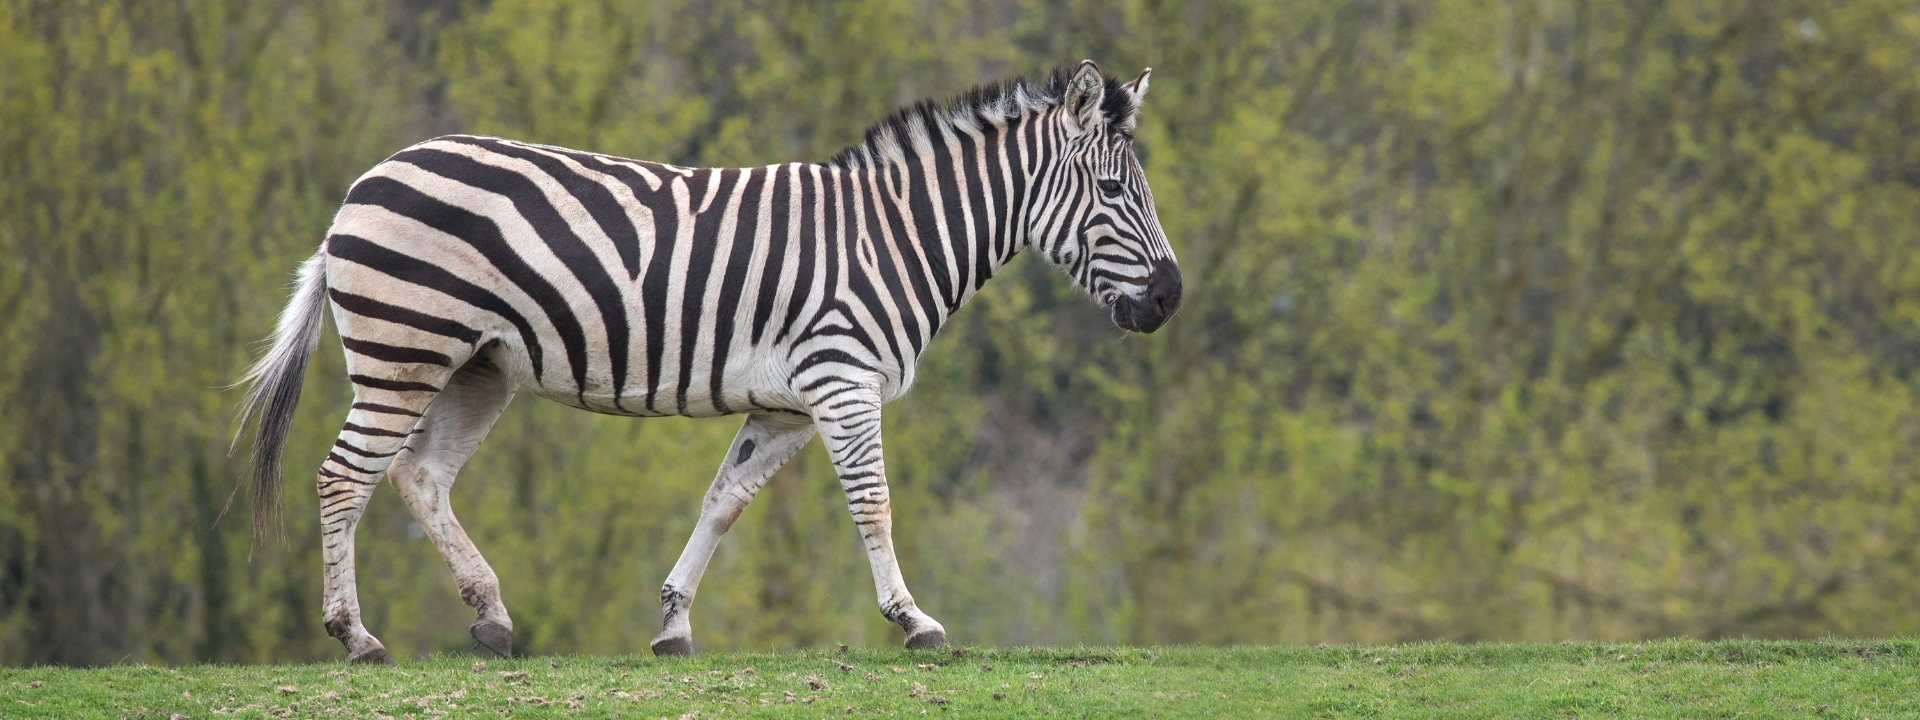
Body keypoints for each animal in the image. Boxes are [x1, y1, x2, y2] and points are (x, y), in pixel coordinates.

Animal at [232, 59, 1175, 664]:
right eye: (1114, 192)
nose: (1169, 300)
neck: (896, 237)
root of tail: (360, 188)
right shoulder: (842, 381)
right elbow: (873, 504)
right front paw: (913, 621)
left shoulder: (785, 406)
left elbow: (723, 502)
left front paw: (674, 625)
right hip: (406, 350)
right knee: (343, 477)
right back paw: (357, 638)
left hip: (478, 368)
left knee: (418, 477)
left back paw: (492, 620)